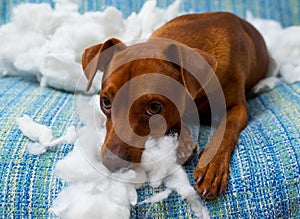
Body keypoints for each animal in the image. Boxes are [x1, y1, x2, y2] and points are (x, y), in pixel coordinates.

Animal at [81, 12, 268, 199]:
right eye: (106, 102)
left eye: (154, 108)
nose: (112, 163)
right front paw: (182, 142)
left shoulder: (238, 108)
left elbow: (226, 131)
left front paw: (211, 166)